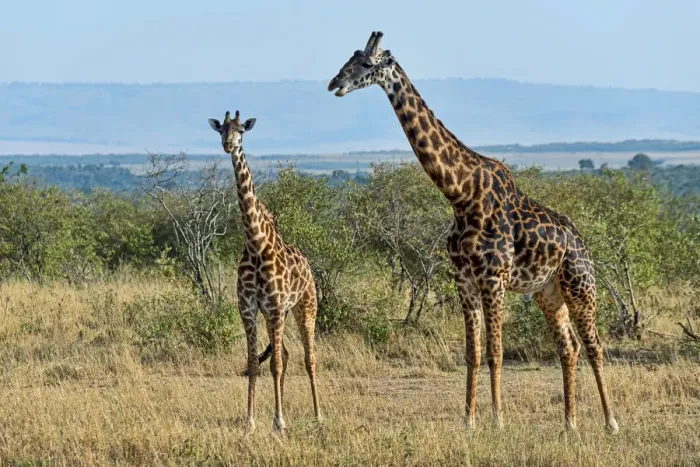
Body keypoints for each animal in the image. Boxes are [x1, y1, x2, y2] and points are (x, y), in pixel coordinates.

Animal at [208, 110, 321, 434]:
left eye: (242, 130)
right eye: (221, 129)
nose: (228, 144)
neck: (256, 242)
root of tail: (308, 265)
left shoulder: (273, 306)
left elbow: (275, 365)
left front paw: (279, 421)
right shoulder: (248, 308)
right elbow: (255, 363)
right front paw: (252, 422)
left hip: (305, 307)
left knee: (308, 358)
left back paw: (318, 415)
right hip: (281, 314)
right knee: (285, 354)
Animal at [328, 32, 618, 434]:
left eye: (367, 64)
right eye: (349, 58)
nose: (334, 83)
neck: (461, 194)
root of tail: (582, 244)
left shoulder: (493, 277)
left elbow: (495, 352)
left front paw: (497, 421)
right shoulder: (463, 278)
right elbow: (472, 353)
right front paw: (469, 420)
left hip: (579, 285)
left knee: (594, 346)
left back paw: (610, 423)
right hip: (548, 293)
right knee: (568, 347)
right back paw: (569, 424)